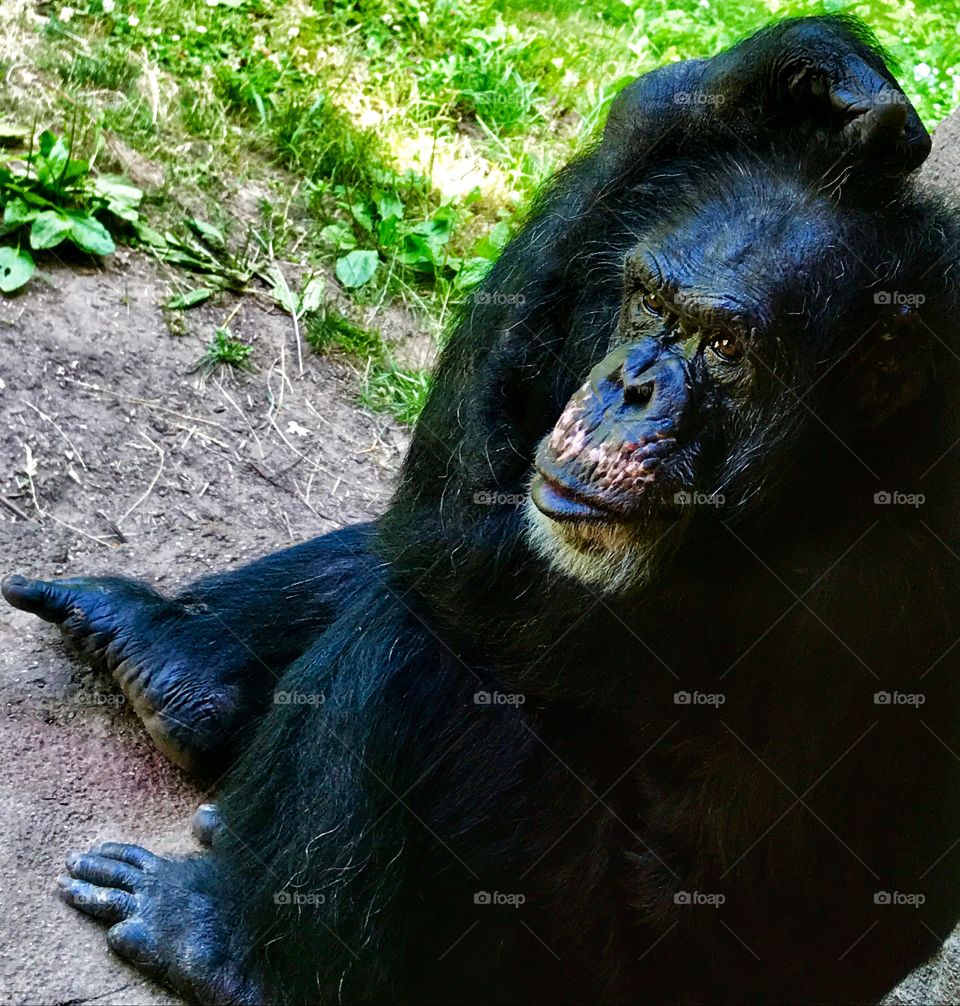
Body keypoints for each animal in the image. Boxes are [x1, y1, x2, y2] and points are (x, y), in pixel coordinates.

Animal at [5, 15, 957, 1006]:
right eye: (649, 302)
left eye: (727, 346)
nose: (630, 384)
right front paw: (800, 69)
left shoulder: (804, 598)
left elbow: (460, 541)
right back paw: (160, 655)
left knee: (424, 638)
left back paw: (221, 943)